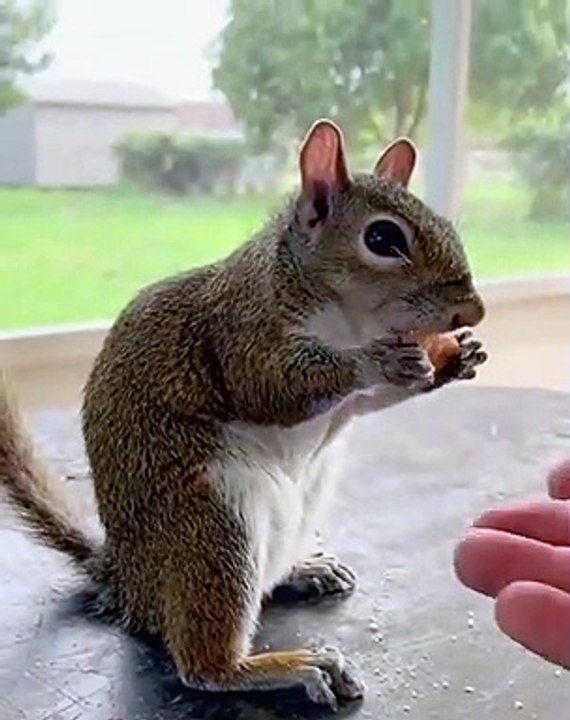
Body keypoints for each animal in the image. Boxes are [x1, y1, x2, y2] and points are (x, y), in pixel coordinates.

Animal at [0, 119, 487, 710]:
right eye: (383, 240)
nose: (474, 310)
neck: (344, 318)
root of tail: (128, 586)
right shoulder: (242, 333)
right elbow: (271, 389)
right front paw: (375, 360)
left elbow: (366, 401)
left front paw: (455, 358)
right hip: (211, 526)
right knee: (204, 666)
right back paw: (292, 665)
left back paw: (305, 569)